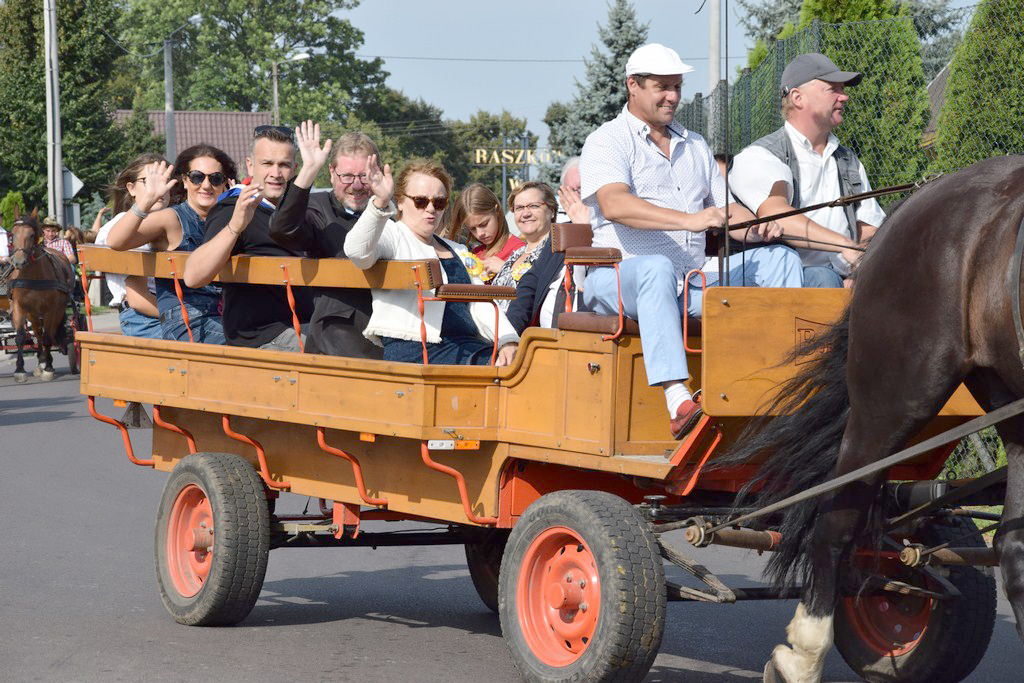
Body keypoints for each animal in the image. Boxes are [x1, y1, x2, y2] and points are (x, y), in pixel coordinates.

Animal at [7, 211, 73, 382]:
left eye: (31, 235)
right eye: (13, 234)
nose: (18, 262)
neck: (33, 276)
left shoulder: (51, 310)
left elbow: (49, 337)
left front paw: (48, 369)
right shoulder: (19, 307)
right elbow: (20, 337)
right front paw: (20, 369)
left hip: (58, 310)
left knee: (49, 333)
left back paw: (47, 362)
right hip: (34, 314)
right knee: (38, 334)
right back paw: (41, 362)